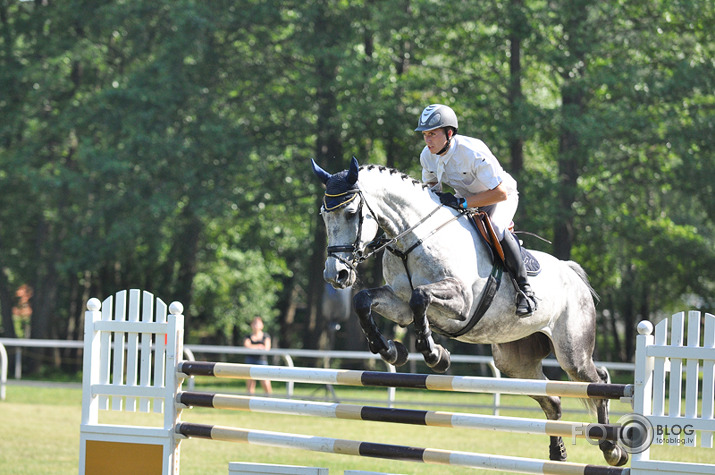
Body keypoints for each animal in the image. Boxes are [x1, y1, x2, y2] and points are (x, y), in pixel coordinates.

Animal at [310, 157, 628, 468]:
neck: (413, 240)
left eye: (351, 213)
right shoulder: (398, 305)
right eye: (324, 215)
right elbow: (364, 301)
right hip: (515, 361)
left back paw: (612, 449)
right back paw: (557, 454)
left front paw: (435, 355)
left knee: (598, 381)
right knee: (554, 401)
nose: (335, 275)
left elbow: (420, 297)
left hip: (572, 352)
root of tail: (572, 273)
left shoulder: (461, 303)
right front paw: (391, 351)